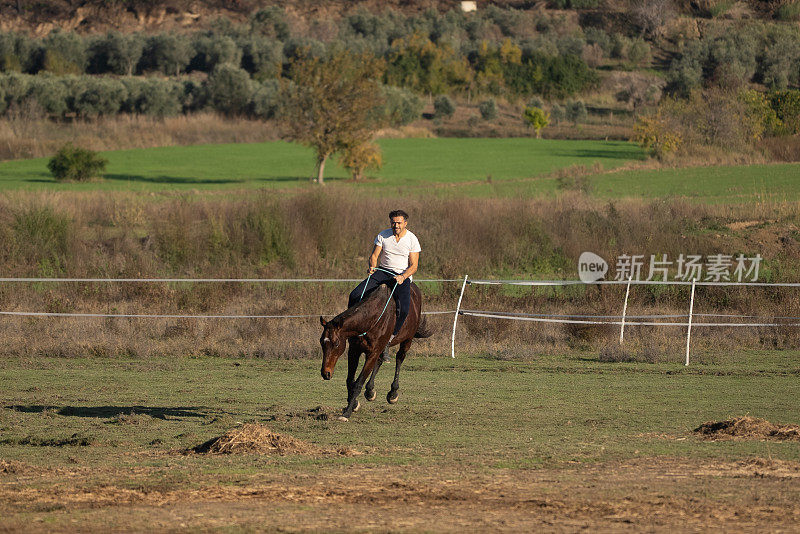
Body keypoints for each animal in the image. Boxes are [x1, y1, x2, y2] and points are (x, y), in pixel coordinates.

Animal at [318, 284, 432, 422]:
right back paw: (370, 391)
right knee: (380, 361)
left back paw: (393, 393)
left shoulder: (372, 354)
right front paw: (354, 404)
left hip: (407, 340)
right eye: (321, 342)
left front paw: (347, 412)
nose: (326, 373)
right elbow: (350, 380)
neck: (372, 318)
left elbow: (358, 383)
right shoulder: (354, 351)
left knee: (399, 358)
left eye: (336, 344)